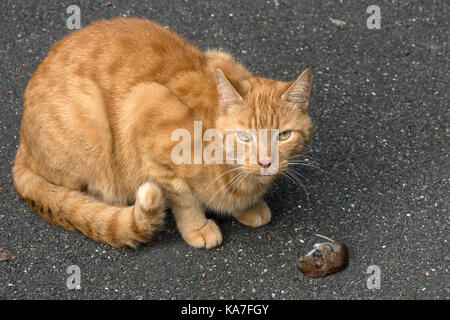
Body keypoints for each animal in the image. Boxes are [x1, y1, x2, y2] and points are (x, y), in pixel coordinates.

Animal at [12, 16, 312, 248]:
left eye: (283, 136)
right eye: (244, 136)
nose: (265, 162)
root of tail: (22, 143)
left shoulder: (219, 56)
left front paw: (248, 208)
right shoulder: (147, 110)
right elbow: (184, 199)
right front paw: (198, 227)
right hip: (90, 119)